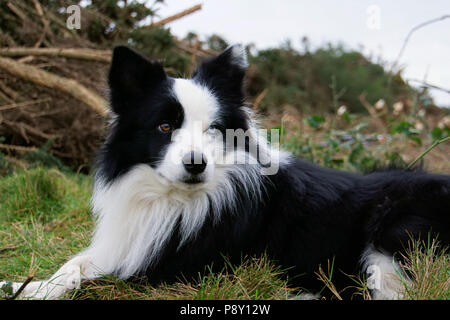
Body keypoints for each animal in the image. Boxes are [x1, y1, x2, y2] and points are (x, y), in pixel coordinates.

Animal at [1, 45, 448, 300]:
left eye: (215, 129)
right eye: (165, 126)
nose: (196, 164)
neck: (177, 199)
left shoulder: (178, 274)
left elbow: (94, 283)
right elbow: (74, 266)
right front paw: (24, 285)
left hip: (392, 233)